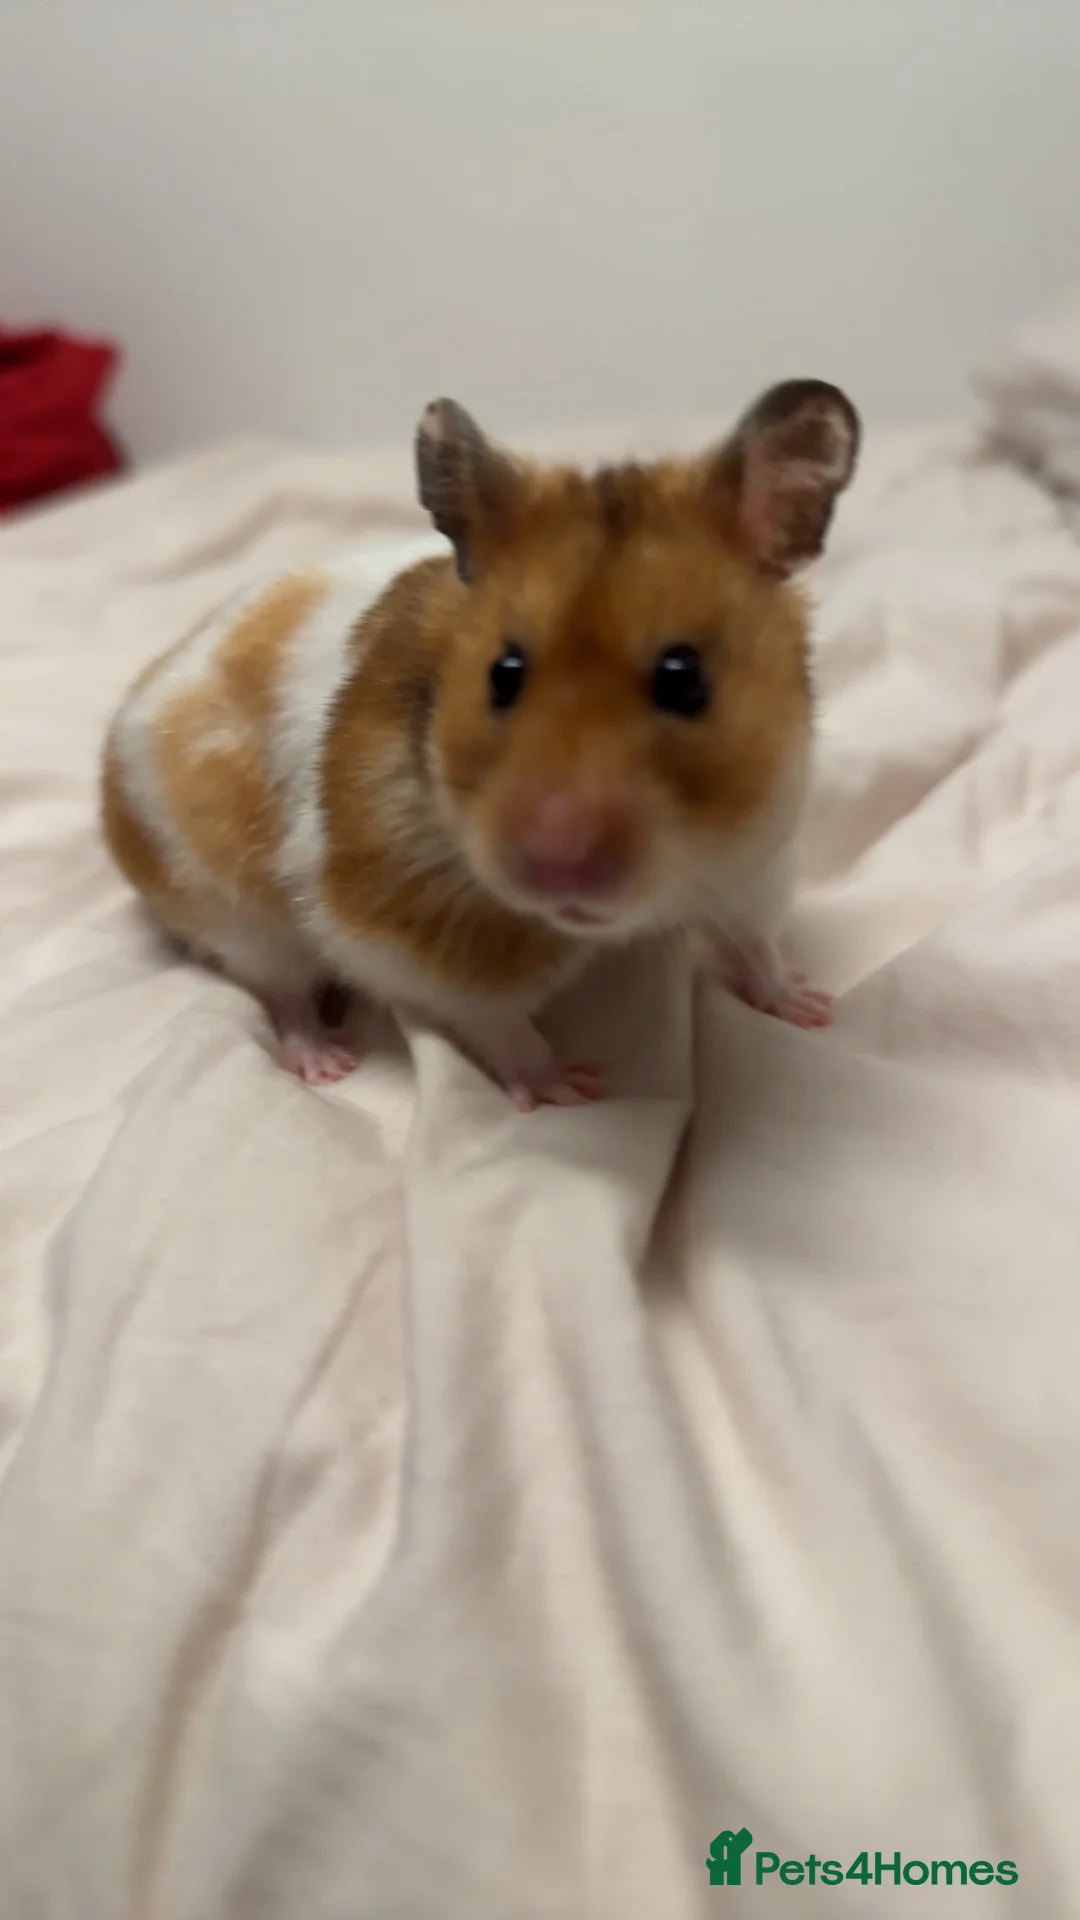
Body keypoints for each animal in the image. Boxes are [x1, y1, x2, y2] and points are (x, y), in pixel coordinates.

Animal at [101, 379, 859, 1109]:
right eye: (504, 673)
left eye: (685, 678)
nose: (555, 861)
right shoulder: (404, 932)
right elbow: (496, 1021)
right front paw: (572, 1090)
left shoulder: (752, 860)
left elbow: (754, 945)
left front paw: (813, 1008)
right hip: (239, 919)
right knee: (283, 993)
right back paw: (327, 1063)